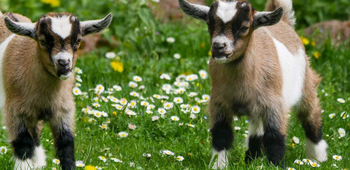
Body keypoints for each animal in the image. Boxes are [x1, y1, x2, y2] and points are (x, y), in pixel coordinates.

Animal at [0, 11, 112, 169]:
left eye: (78, 40)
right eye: (42, 41)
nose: (64, 63)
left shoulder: (63, 111)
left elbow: (66, 144)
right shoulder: (16, 111)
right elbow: (23, 144)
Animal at [180, 0, 328, 168]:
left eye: (244, 27)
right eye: (209, 24)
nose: (218, 46)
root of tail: (284, 22)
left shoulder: (274, 105)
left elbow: (275, 137)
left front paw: (276, 166)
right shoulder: (219, 103)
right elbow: (221, 134)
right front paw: (218, 165)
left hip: (306, 85)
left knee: (311, 117)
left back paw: (318, 158)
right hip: (257, 107)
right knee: (256, 129)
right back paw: (252, 159)